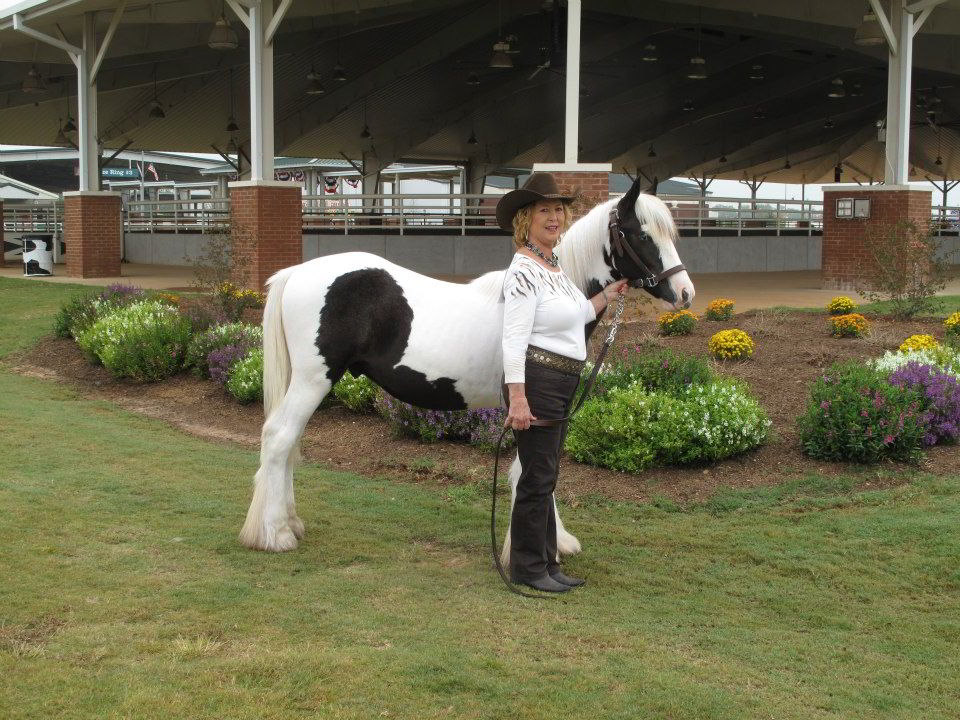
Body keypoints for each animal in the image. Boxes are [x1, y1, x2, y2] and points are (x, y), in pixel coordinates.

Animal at [239, 176, 695, 557]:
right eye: (641, 233)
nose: (686, 292)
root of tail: (296, 273)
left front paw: (556, 540)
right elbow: (533, 469)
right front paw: (544, 545)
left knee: (289, 444)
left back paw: (290, 524)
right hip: (313, 380)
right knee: (279, 438)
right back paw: (275, 535)